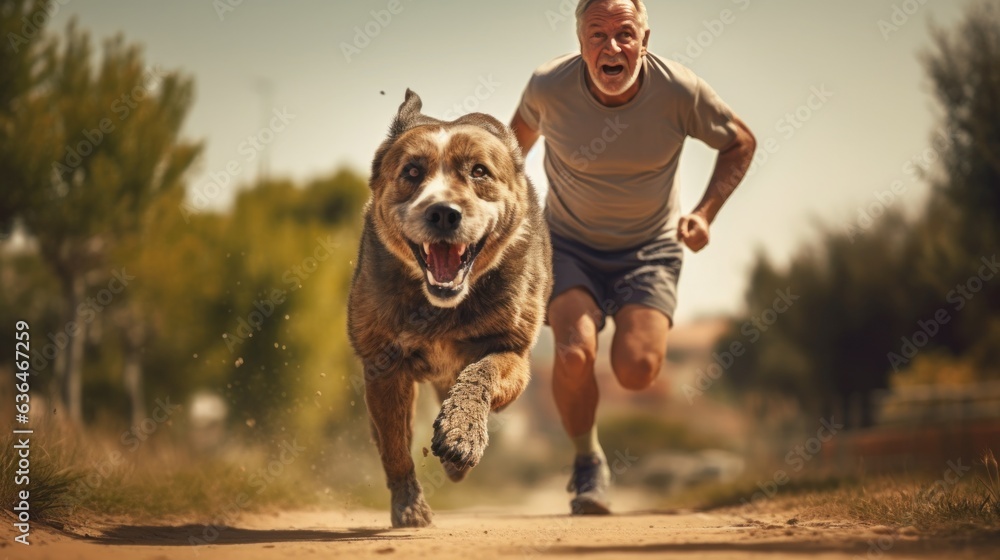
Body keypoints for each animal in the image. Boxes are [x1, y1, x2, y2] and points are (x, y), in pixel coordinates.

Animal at [350, 89, 556, 528]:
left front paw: (462, 435)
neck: (443, 307)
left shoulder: (513, 351)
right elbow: (394, 444)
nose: (443, 212)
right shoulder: (383, 363)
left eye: (479, 171)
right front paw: (409, 507)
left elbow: (482, 372)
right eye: (412, 171)